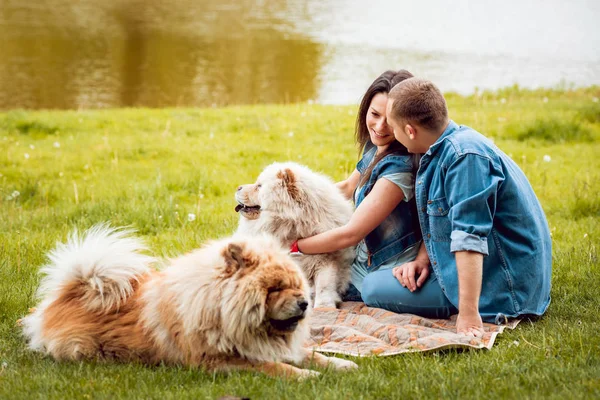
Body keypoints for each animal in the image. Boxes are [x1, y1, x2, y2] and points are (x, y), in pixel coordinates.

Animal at [19, 225, 356, 378]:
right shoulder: (221, 360)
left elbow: (312, 354)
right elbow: (277, 367)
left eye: (297, 286)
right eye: (274, 289)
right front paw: (309, 377)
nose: (304, 304)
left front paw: (342, 364)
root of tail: (71, 290)